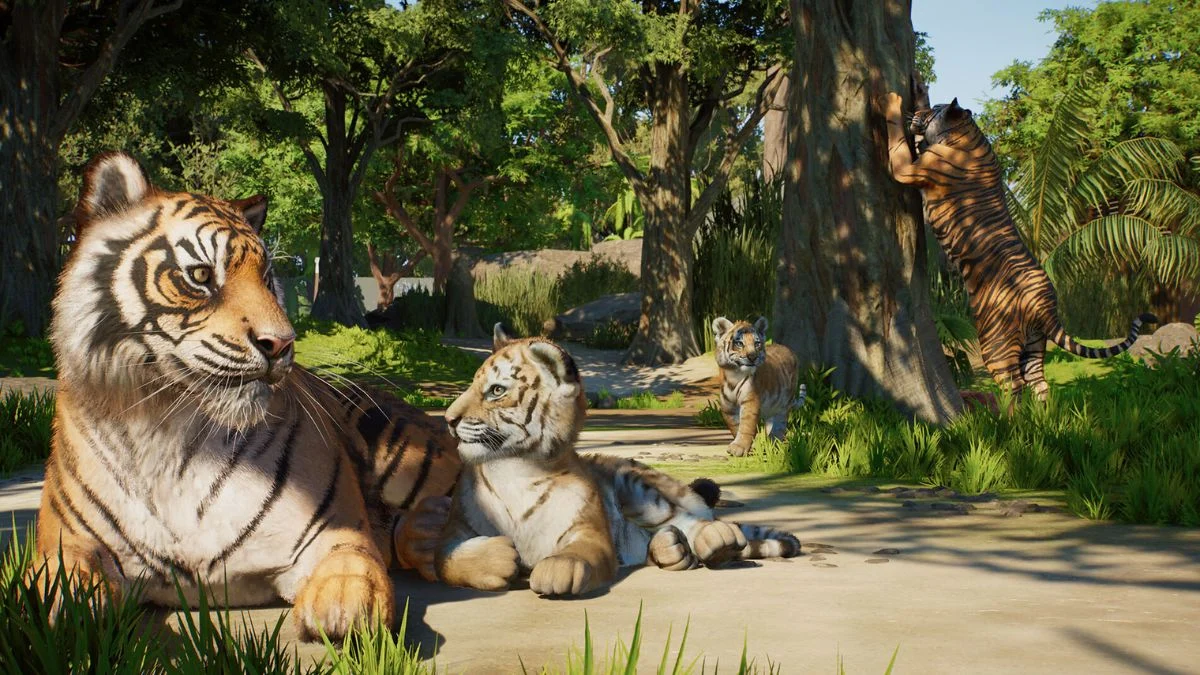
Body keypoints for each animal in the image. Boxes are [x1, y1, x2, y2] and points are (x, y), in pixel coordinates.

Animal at [34, 151, 461, 641]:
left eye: (268, 278)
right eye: (201, 275)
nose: (282, 343)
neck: (168, 429)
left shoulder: (333, 530)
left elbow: (353, 561)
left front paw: (346, 607)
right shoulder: (68, 541)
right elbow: (57, 583)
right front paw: (62, 612)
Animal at [429, 325, 800, 597]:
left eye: (496, 391)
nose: (448, 419)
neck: (516, 468)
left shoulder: (589, 529)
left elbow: (582, 553)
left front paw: (557, 569)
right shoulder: (453, 530)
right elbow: (447, 560)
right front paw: (500, 559)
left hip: (642, 490)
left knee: (694, 519)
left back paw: (716, 539)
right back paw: (671, 549)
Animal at [713, 317, 806, 457]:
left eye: (757, 344)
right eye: (739, 343)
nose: (752, 357)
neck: (734, 375)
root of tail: (789, 350)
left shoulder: (751, 400)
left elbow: (746, 425)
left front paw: (739, 447)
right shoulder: (727, 406)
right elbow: (734, 425)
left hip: (783, 406)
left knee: (779, 426)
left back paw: (775, 445)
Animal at [883, 92, 1157, 400]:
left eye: (934, 110)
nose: (919, 111)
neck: (967, 131)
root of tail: (1045, 304)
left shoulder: (908, 168)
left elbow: (896, 138)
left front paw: (891, 101)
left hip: (995, 342)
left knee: (1013, 386)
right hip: (1035, 342)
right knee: (1039, 384)